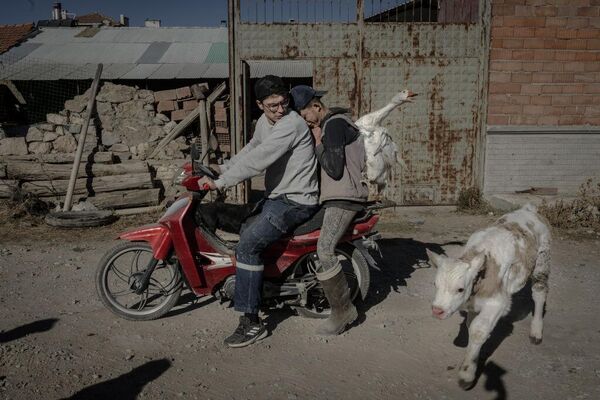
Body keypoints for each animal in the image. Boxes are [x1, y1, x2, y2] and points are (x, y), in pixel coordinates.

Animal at [426, 205, 548, 390]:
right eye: (435, 284)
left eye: (460, 289)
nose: (437, 311)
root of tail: (528, 209)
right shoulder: (473, 304)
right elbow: (471, 326)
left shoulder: (498, 302)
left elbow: (478, 330)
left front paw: (466, 374)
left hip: (542, 259)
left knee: (539, 291)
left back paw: (536, 332)